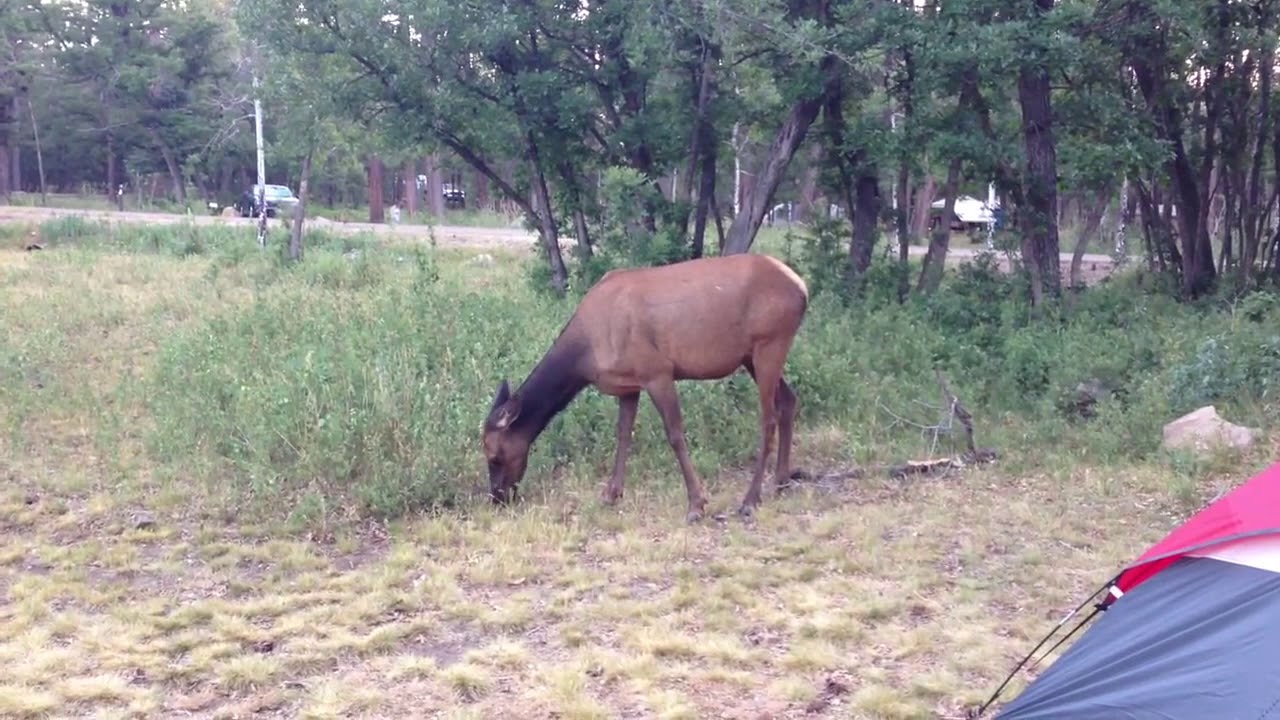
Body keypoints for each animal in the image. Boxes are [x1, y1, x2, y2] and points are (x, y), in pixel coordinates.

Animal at [481, 252, 808, 520]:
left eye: (494, 456)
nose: (497, 498)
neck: (586, 354)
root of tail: (802, 289)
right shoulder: (628, 384)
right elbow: (623, 434)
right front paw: (611, 493)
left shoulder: (657, 371)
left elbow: (675, 435)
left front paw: (696, 504)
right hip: (752, 356)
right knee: (789, 400)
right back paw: (781, 479)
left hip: (769, 342)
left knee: (768, 418)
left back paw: (751, 500)